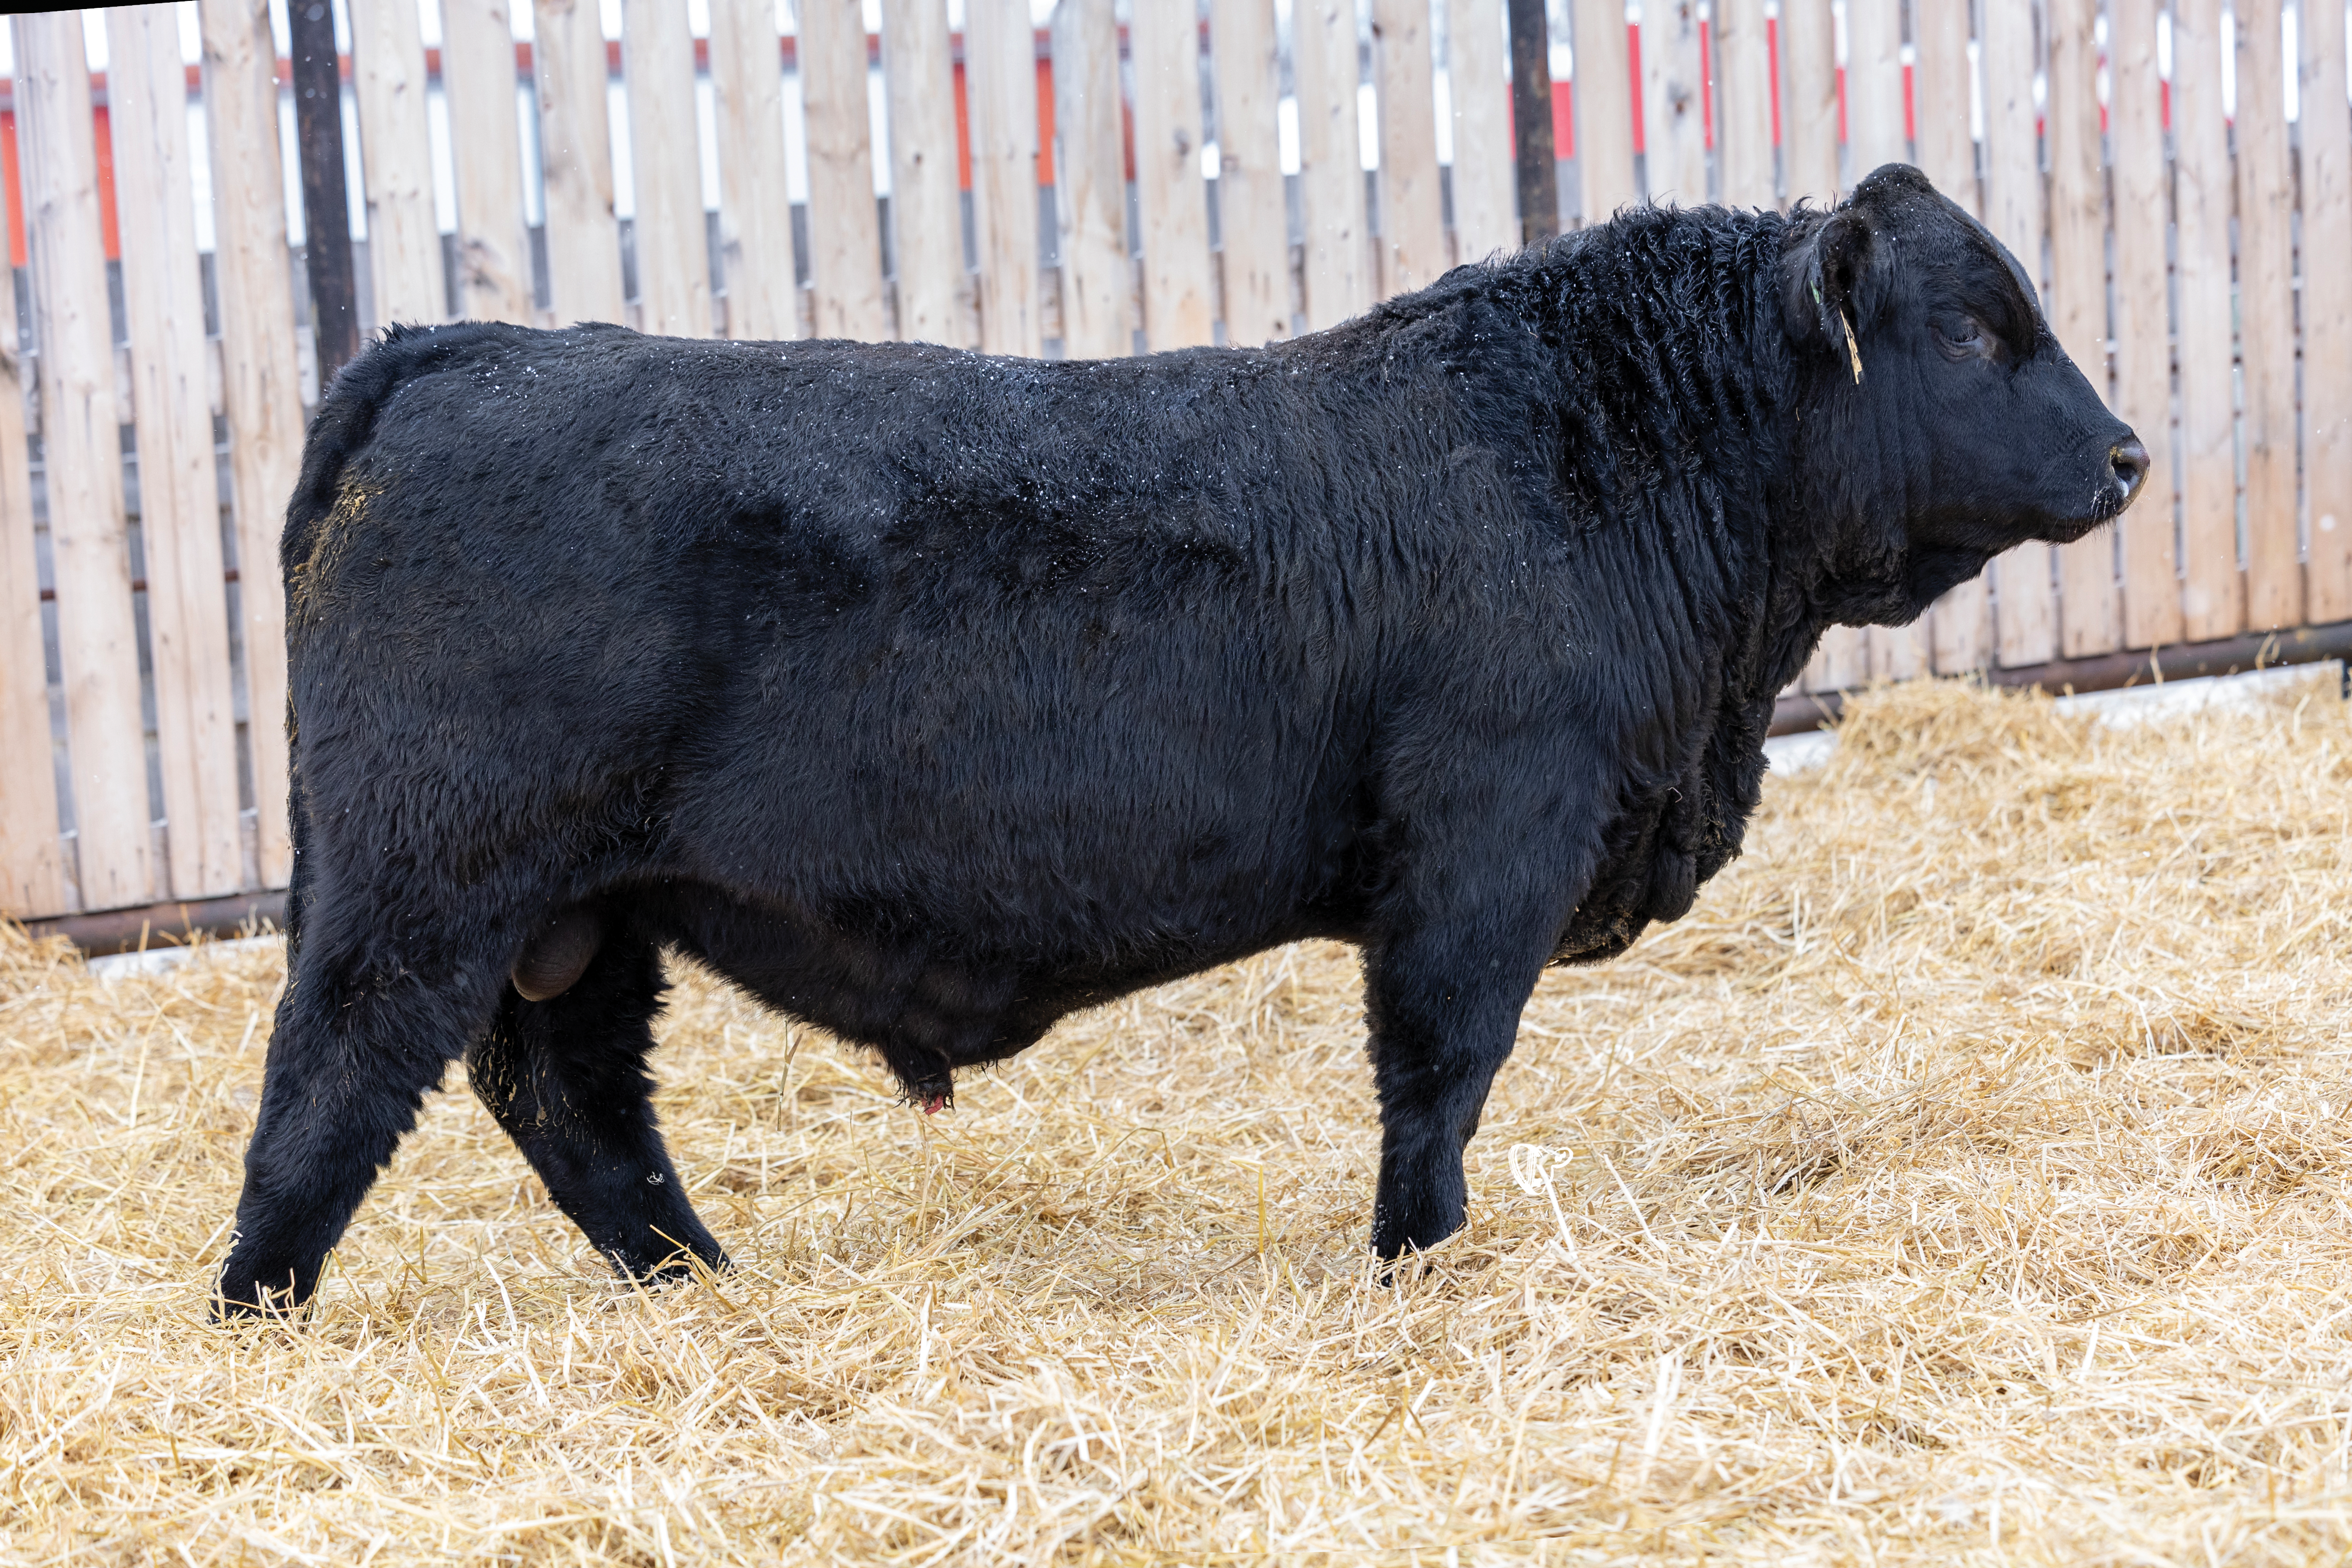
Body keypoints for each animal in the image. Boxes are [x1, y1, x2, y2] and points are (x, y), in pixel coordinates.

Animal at [214, 165, 2146, 1317]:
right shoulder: (1487, 845)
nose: (2128, 454)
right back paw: (262, 1313)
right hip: (423, 880)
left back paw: (706, 1286)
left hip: (580, 917)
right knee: (332, 1088)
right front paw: (1417, 1268)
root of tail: (455, 346)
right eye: (1975, 327)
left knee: (575, 1105)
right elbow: (1439, 1073)